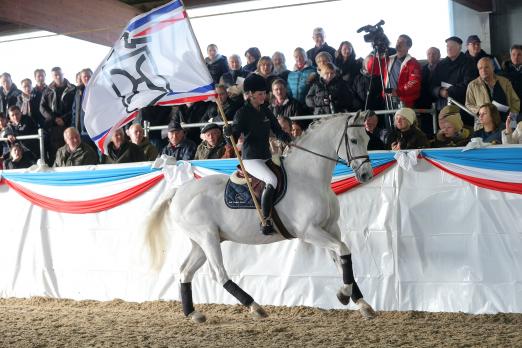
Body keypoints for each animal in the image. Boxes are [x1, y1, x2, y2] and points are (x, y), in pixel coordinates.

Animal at [144, 112, 376, 324]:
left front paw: (361, 303)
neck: (309, 177)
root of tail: (179, 191)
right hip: (206, 237)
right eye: (353, 140)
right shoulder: (309, 231)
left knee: (185, 272)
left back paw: (193, 313)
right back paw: (255, 307)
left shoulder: (330, 228)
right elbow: (343, 250)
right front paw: (344, 295)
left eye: (367, 138)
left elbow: (342, 258)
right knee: (218, 273)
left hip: (201, 242)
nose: (366, 175)